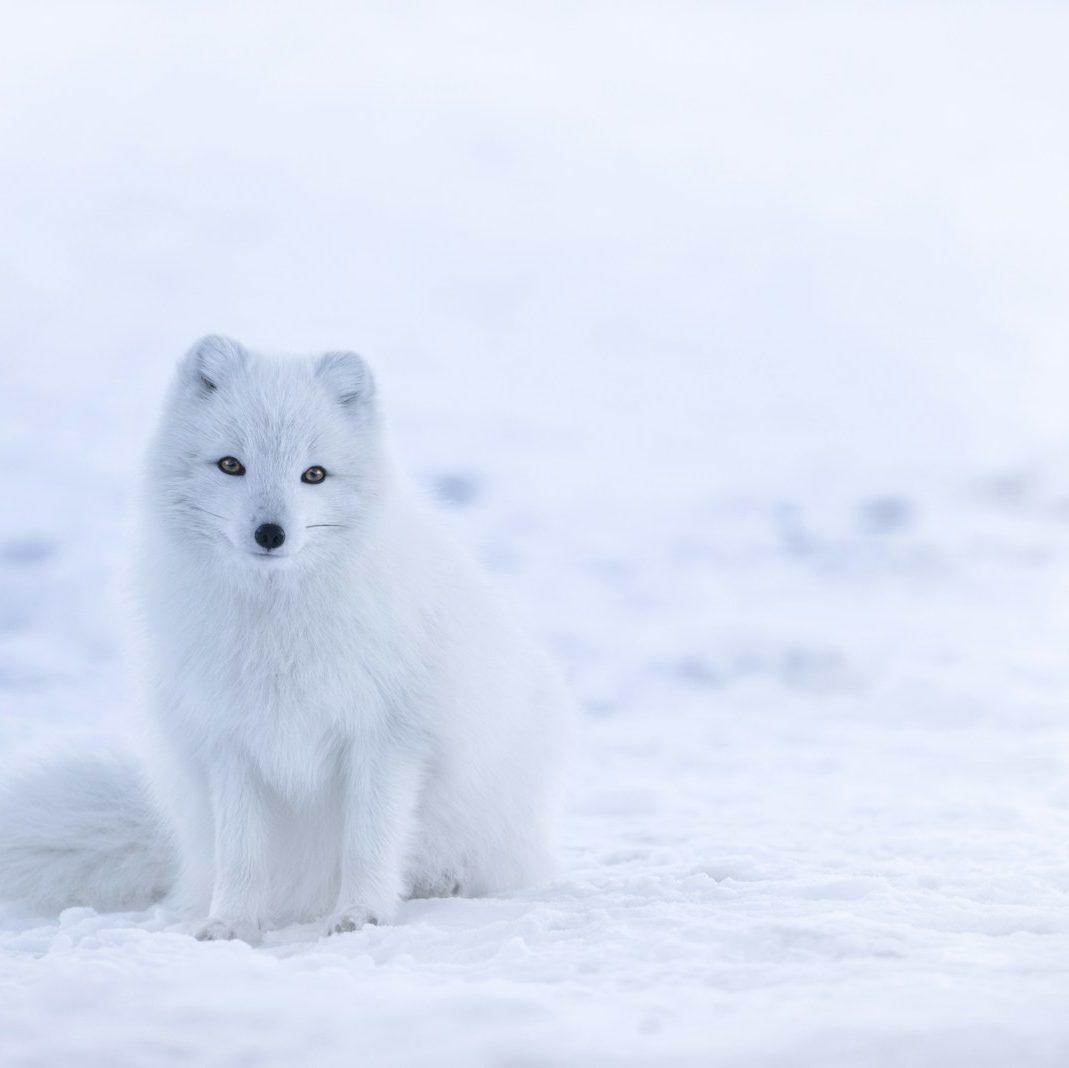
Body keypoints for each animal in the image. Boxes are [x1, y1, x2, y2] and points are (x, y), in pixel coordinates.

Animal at [0, 335, 572, 945]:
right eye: (231, 465)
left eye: (314, 474)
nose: (270, 533)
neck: (277, 627)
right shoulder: (229, 741)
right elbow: (242, 854)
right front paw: (231, 924)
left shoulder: (386, 736)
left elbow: (369, 842)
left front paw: (361, 916)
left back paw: (441, 882)